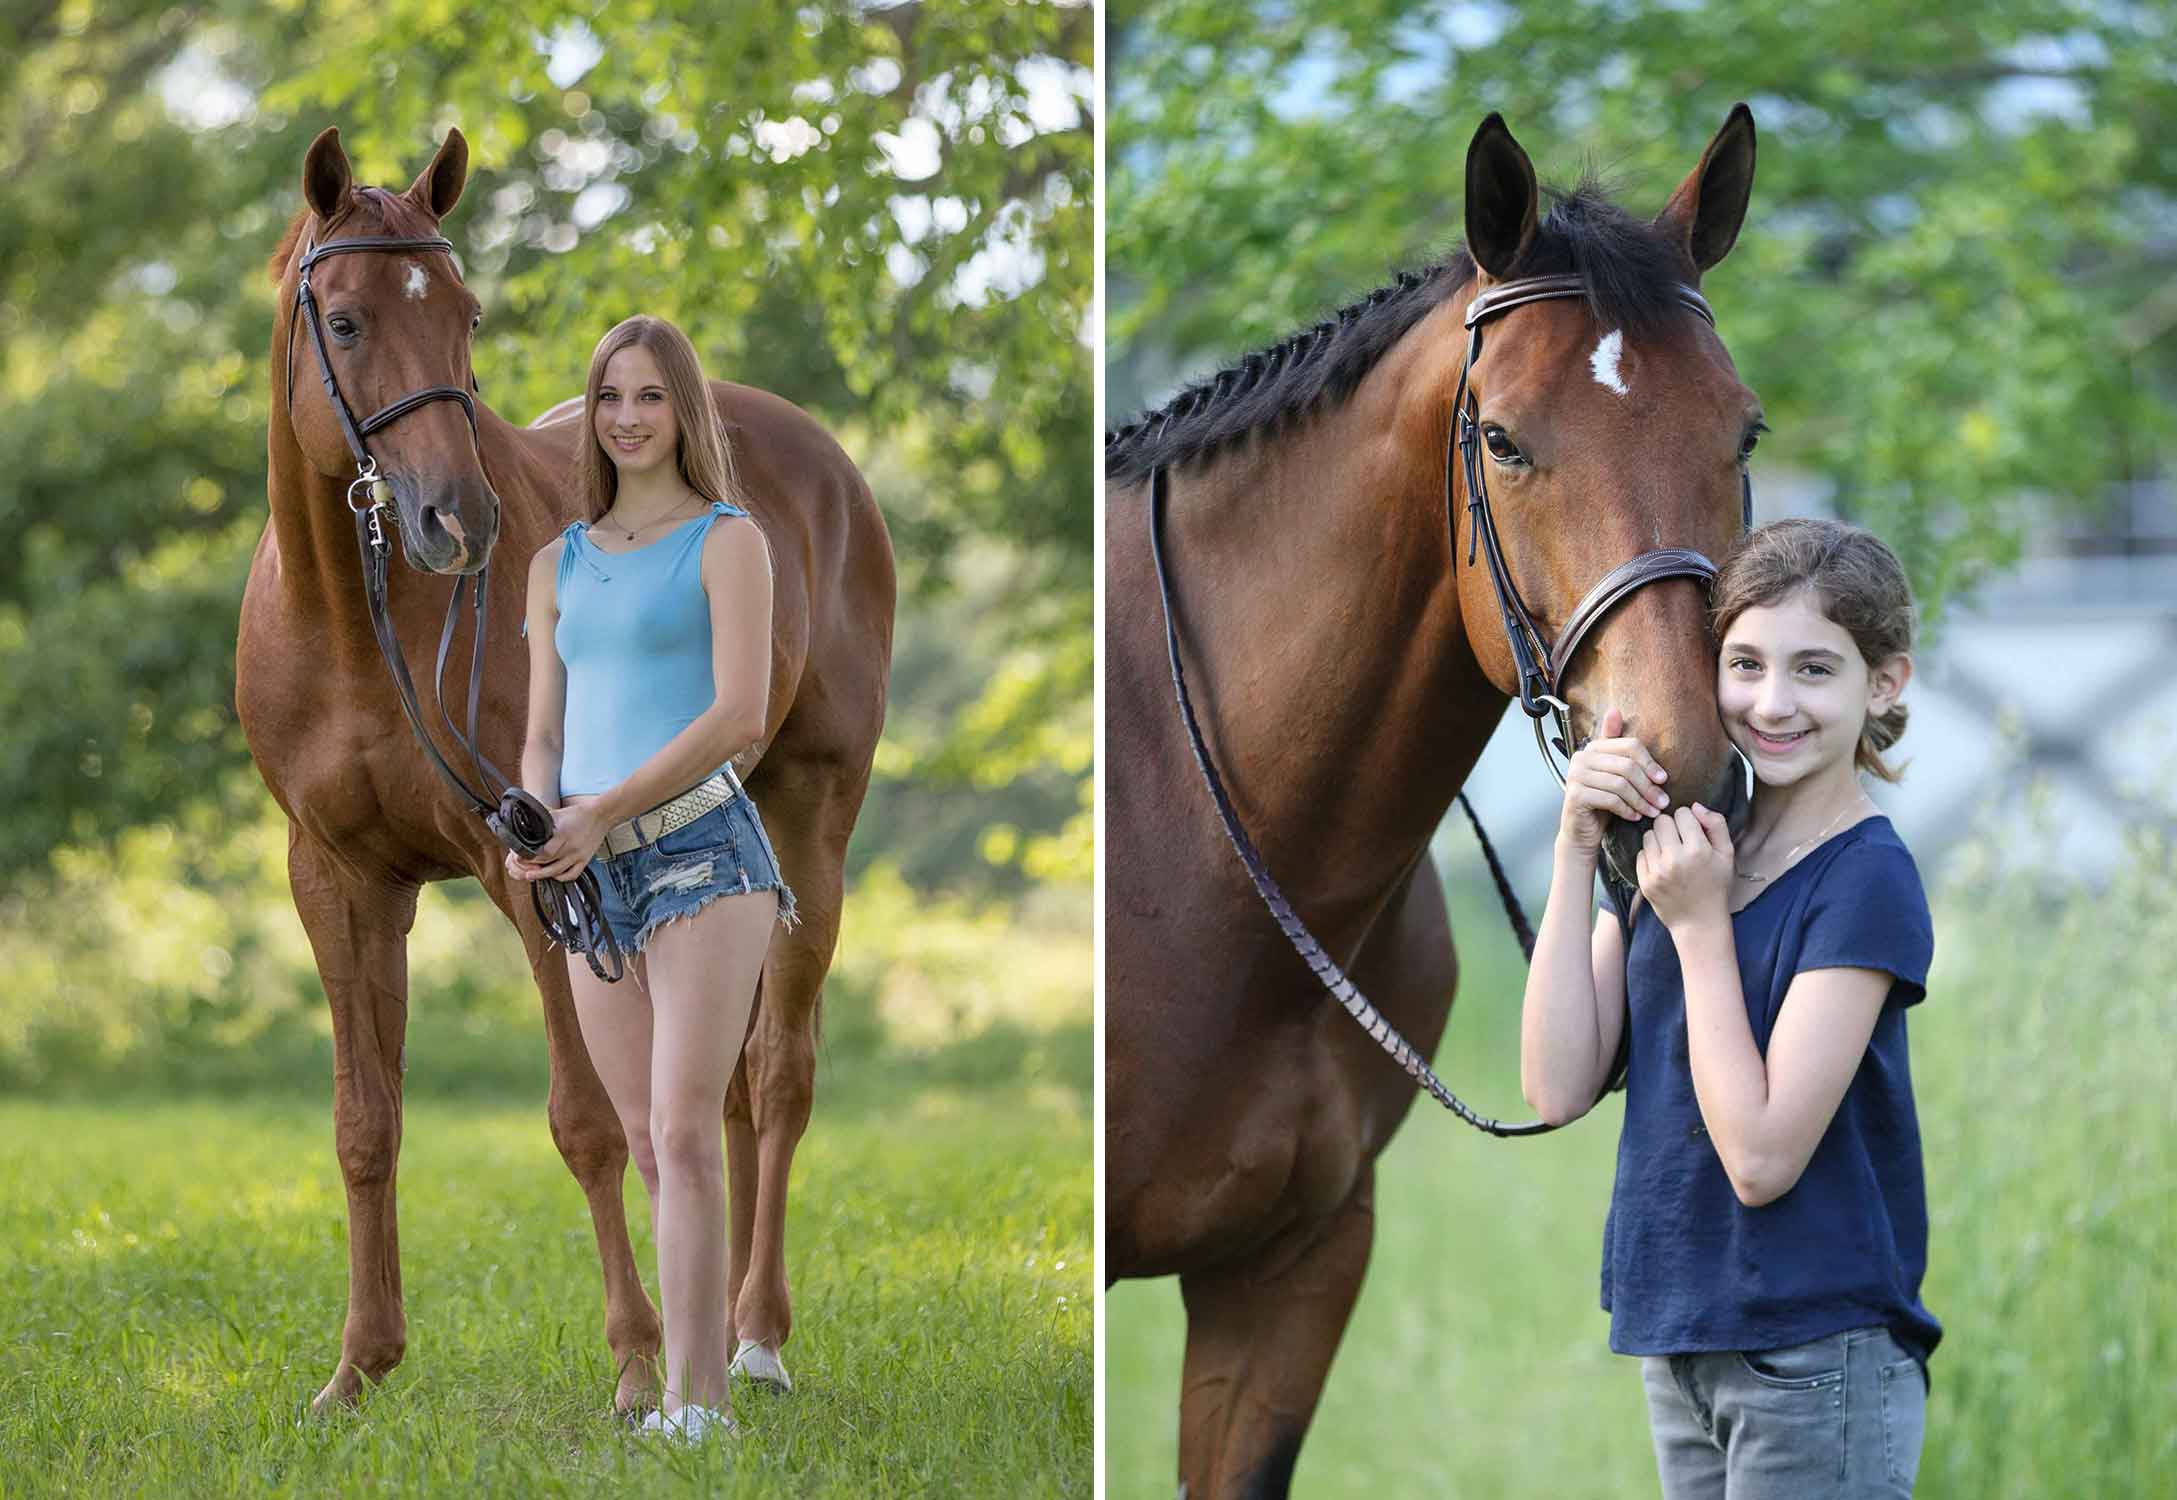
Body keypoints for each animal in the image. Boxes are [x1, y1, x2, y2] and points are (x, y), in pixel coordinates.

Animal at [231, 125, 892, 1402]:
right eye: (344, 320)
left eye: (467, 315)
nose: (457, 520)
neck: (356, 621)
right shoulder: (334, 879)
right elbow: (364, 1122)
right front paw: (360, 1370)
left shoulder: (528, 866)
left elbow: (584, 1123)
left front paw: (635, 1367)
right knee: (724, 1089)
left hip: (812, 819)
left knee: (779, 1072)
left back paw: (753, 1337)